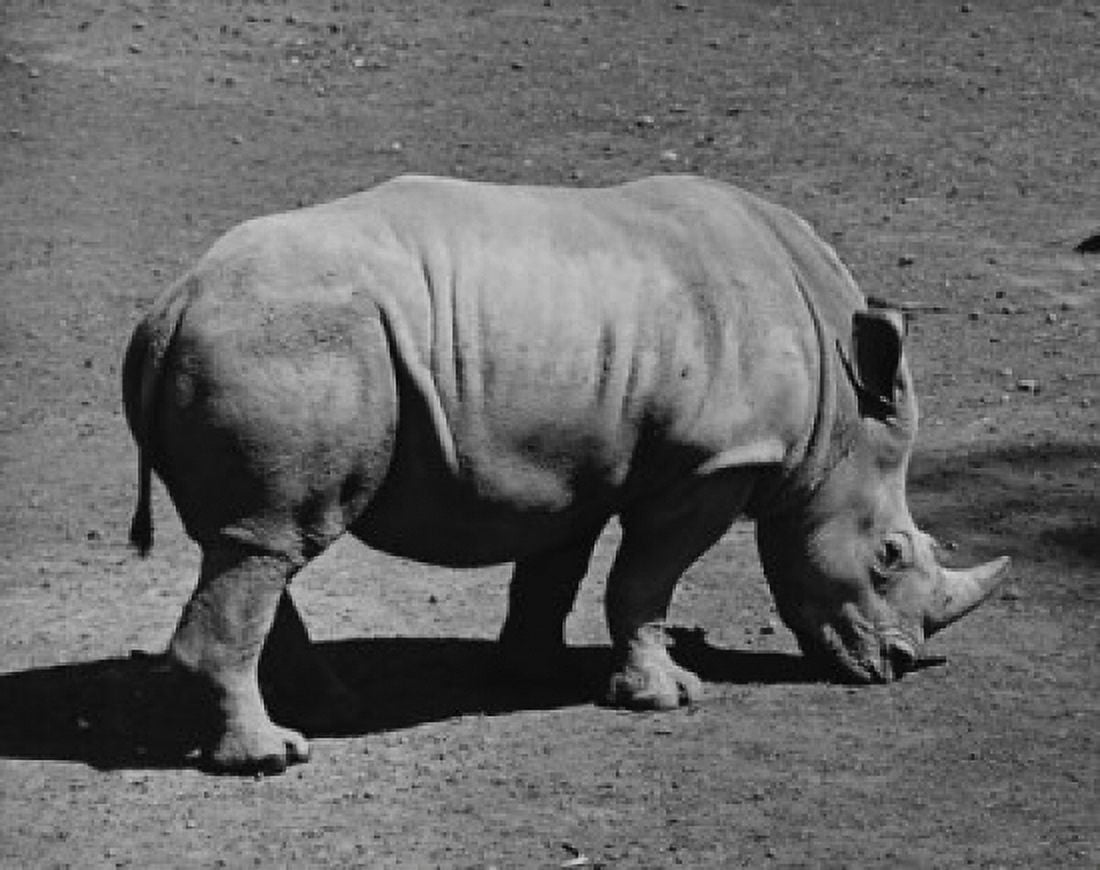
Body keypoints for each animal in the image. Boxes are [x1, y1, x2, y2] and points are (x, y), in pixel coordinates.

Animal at [123, 174, 1008, 773]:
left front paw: (534, 672)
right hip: (289, 342)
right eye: (891, 554)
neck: (838, 409)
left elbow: (555, 571)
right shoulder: (714, 463)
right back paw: (276, 756)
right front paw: (667, 696)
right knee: (270, 542)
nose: (896, 666)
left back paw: (329, 707)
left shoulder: (574, 468)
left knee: (260, 544)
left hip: (275, 343)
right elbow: (645, 576)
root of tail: (171, 305)